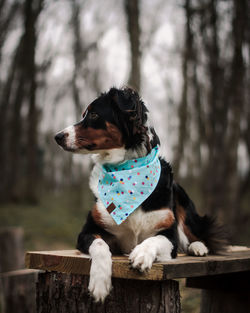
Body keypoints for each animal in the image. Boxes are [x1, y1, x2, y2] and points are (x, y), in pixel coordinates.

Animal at [54, 86, 227, 302]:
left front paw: (141, 254)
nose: (57, 136)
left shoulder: (169, 236)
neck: (127, 170)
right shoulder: (88, 230)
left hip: (183, 202)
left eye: (93, 114)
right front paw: (100, 283)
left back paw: (198, 247)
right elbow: (100, 245)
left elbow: (154, 239)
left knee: (193, 234)